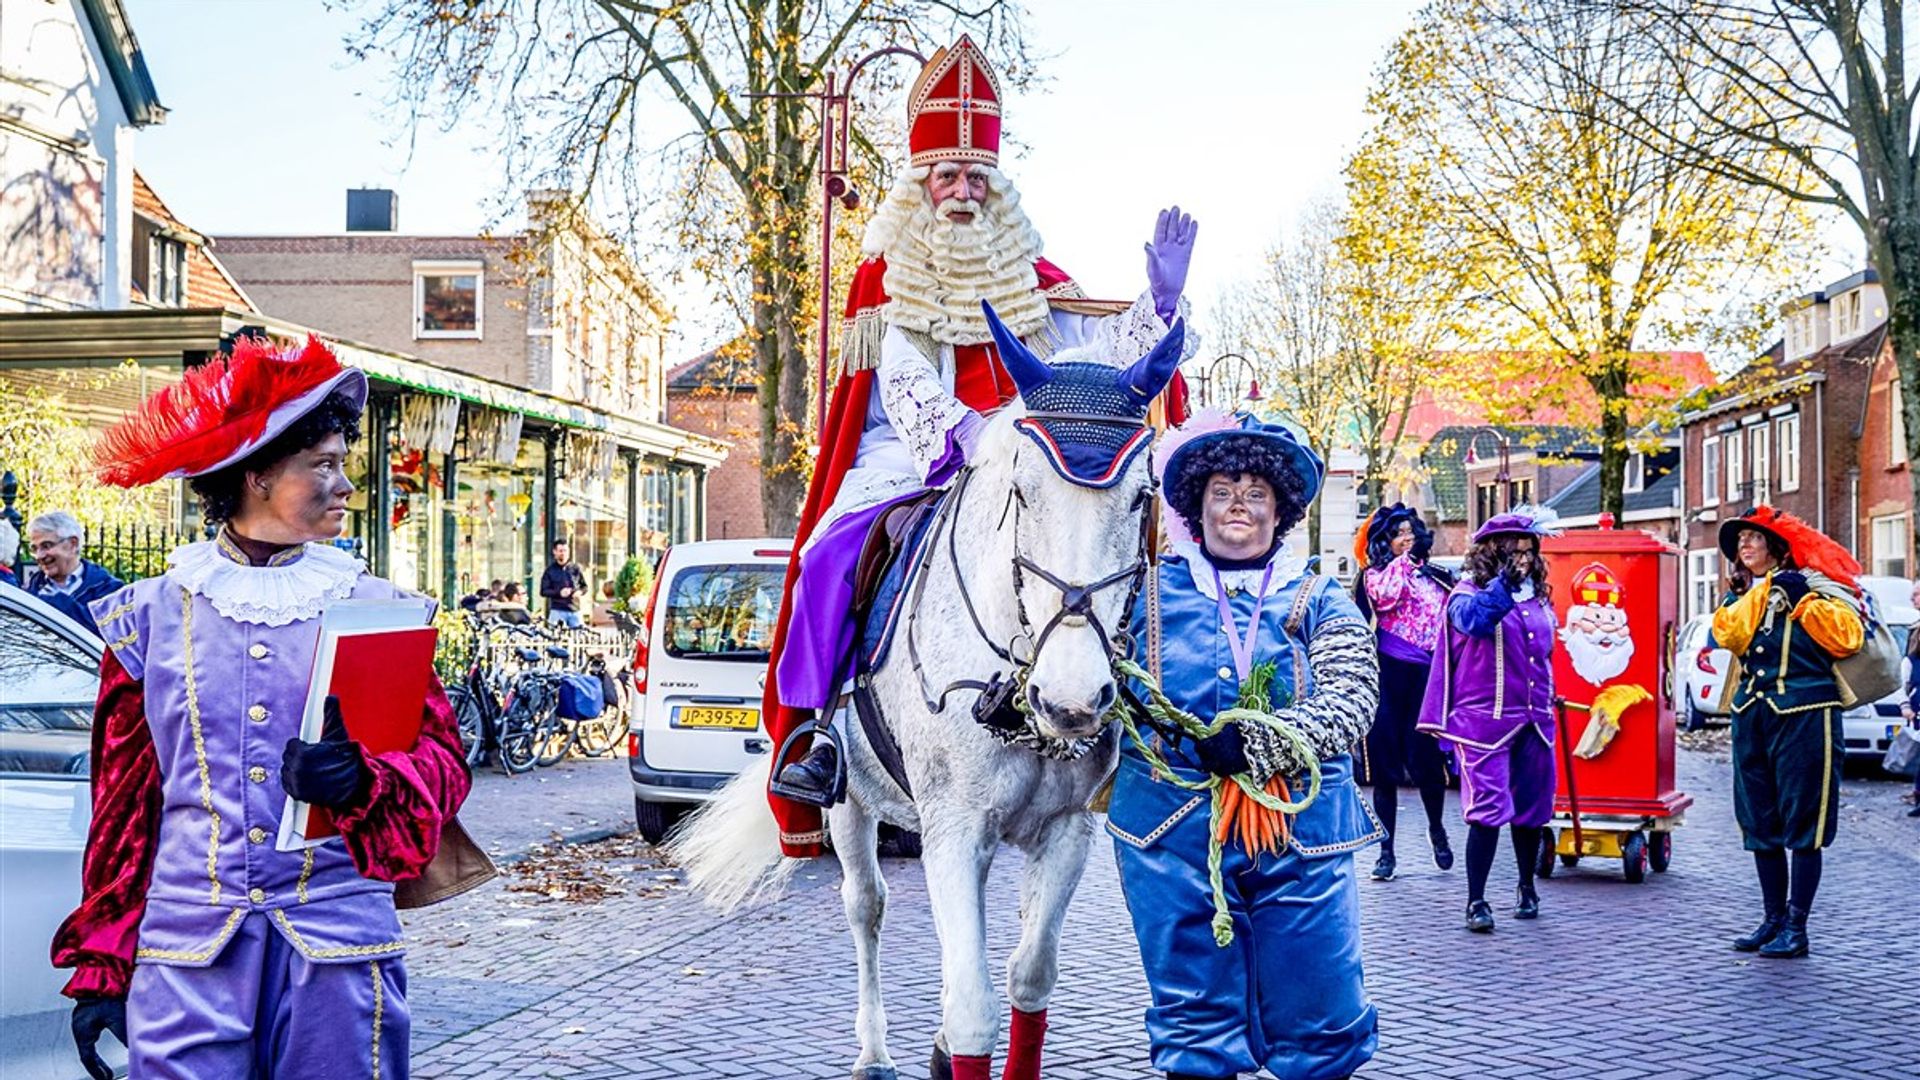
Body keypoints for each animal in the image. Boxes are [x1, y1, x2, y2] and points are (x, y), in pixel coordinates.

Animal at [675, 313, 1182, 1076]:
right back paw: (874, 1052)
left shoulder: (1067, 830)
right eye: (1021, 490)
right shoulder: (953, 828)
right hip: (849, 806)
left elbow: (1029, 977)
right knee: (867, 905)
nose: (1070, 699)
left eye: (1142, 497)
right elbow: (971, 1008)